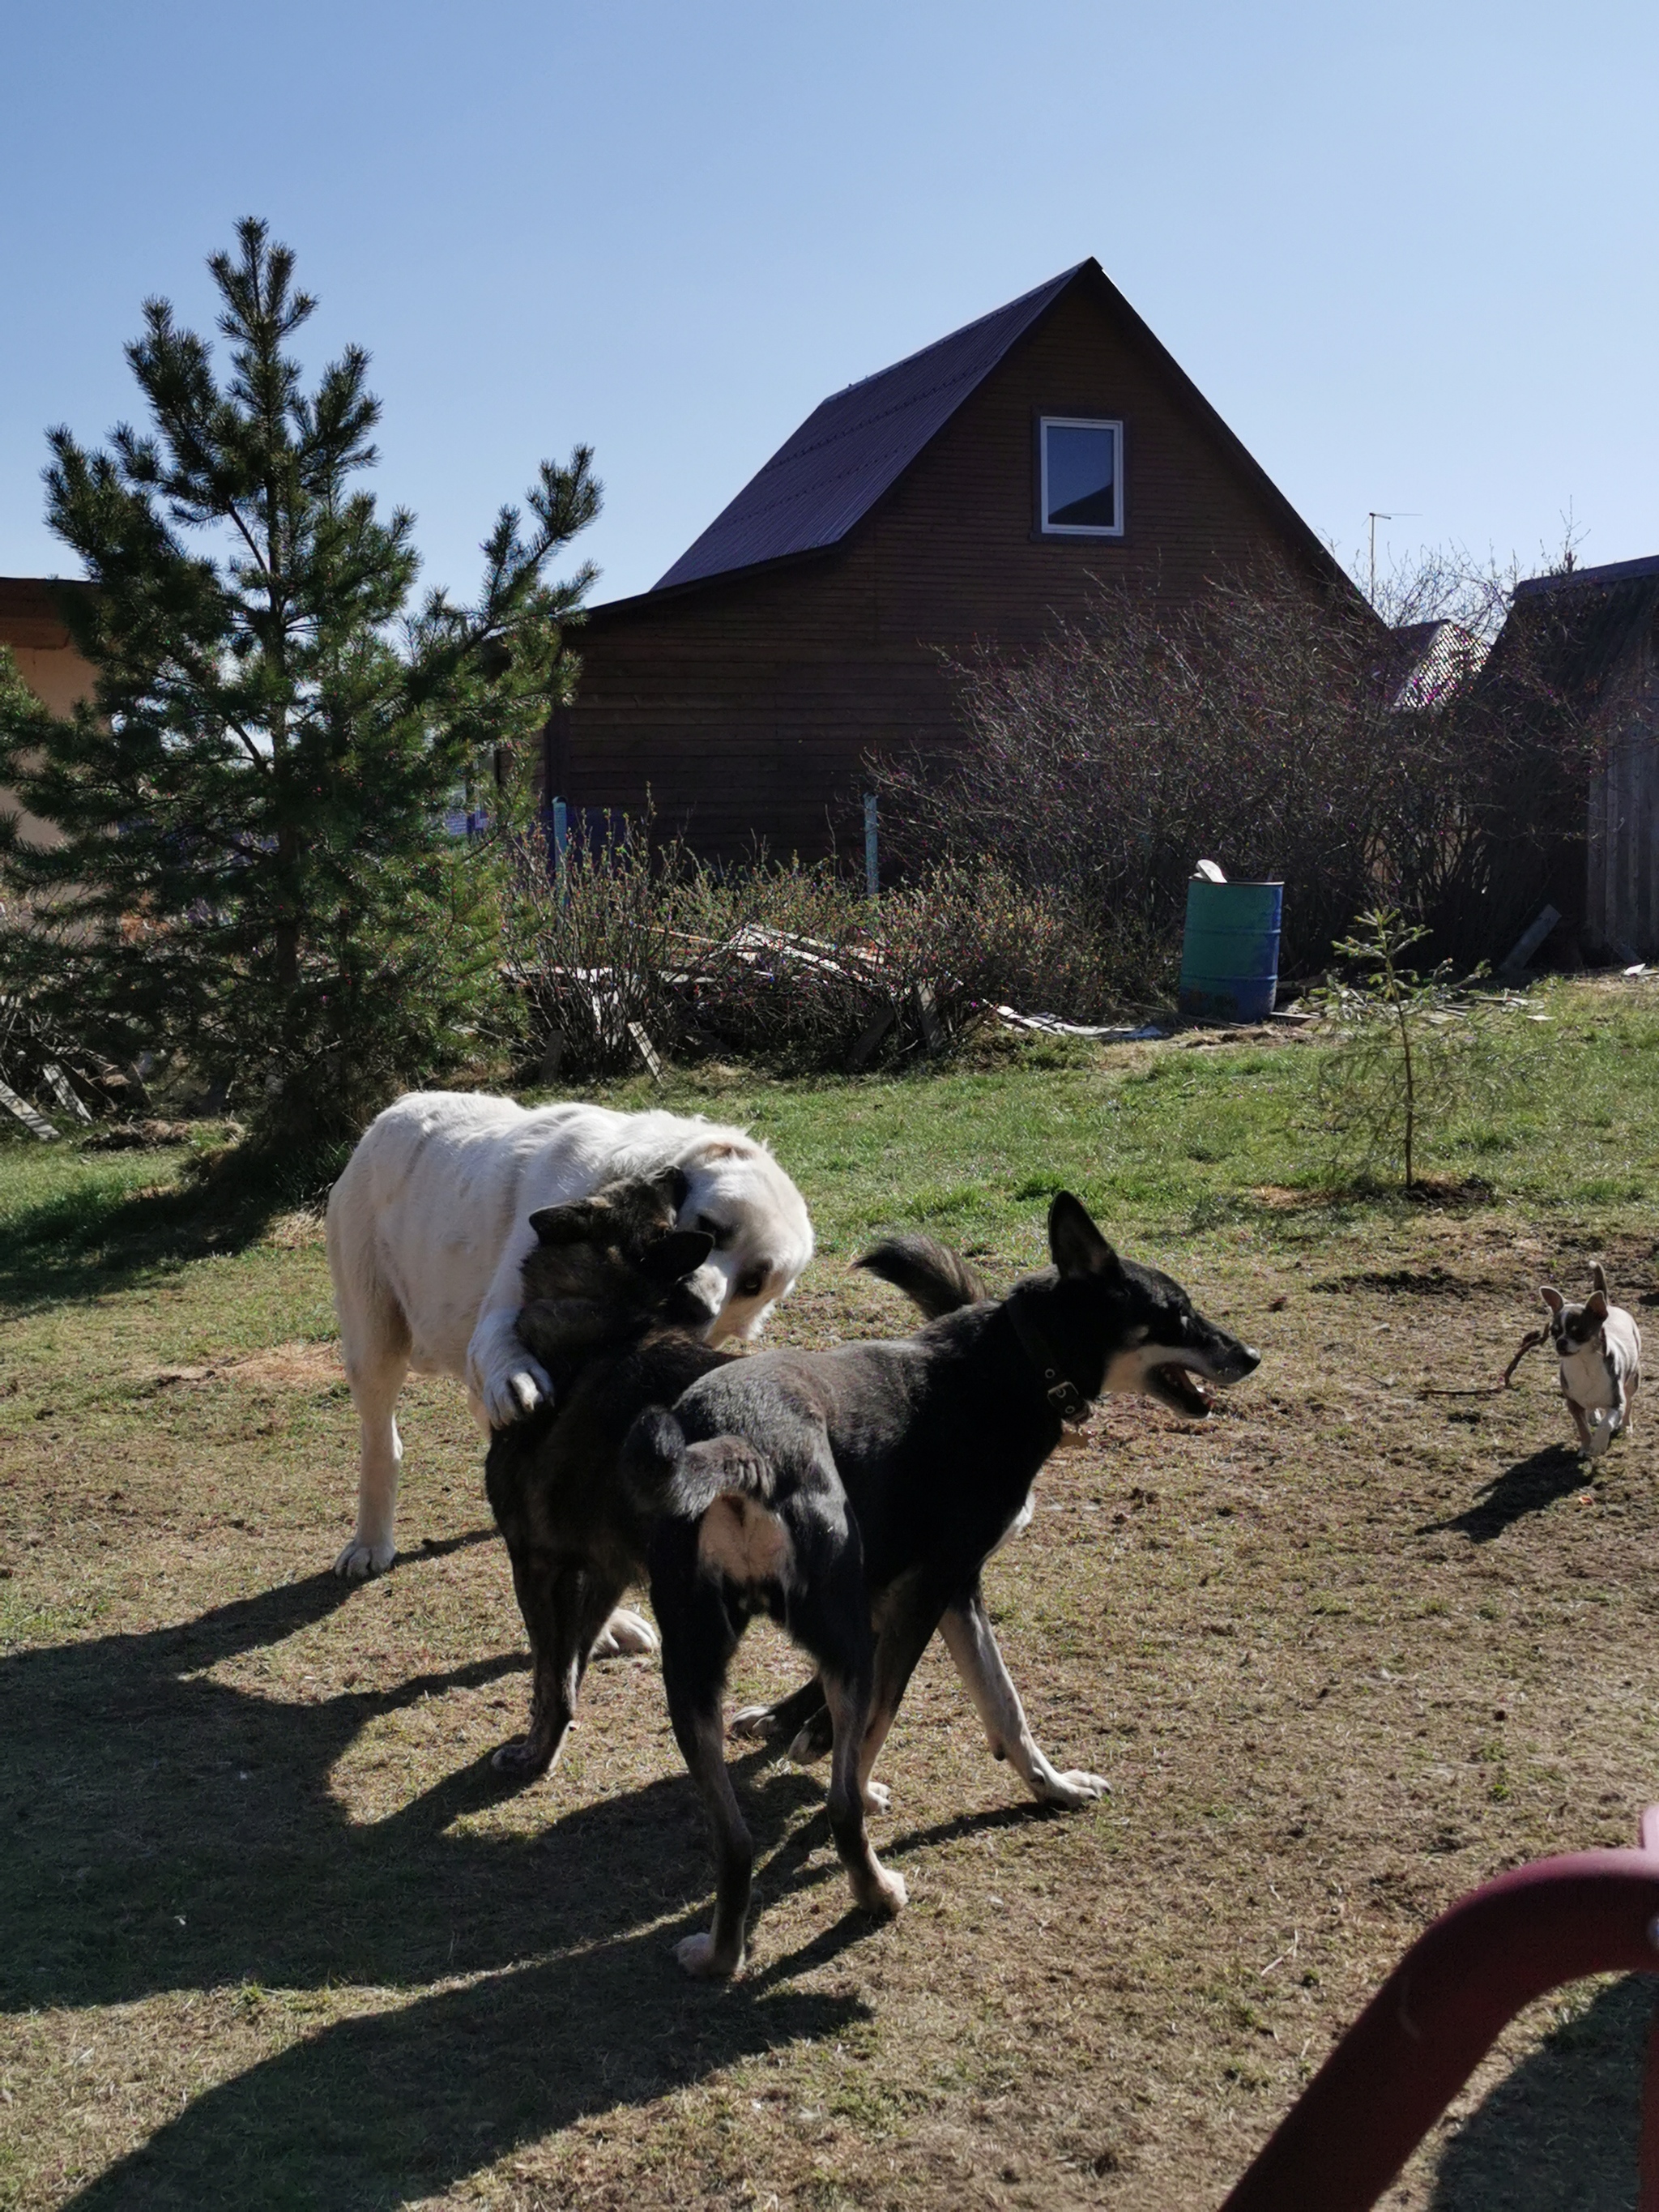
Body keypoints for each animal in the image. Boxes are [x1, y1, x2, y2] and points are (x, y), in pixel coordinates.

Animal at [327, 1097, 818, 1619]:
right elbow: (504, 1355)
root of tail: (398, 1107)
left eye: (752, 1283)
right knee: (383, 1441)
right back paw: (371, 1543)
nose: (696, 1303)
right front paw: (517, 1381)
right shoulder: (505, 1315)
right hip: (373, 1347)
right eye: (711, 1228)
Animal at [624, 1194, 1256, 1991]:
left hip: (694, 1668)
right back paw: (874, 1891)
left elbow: (1004, 1707)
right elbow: (892, 1728)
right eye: (1176, 1314)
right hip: (841, 1635)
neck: (1020, 1362)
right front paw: (868, 1789)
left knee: (734, 1839)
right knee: (837, 1801)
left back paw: (719, 1955)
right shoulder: (934, 1591)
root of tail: (743, 1451)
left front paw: (1053, 1788)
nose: (1250, 1357)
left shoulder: (946, 1592)